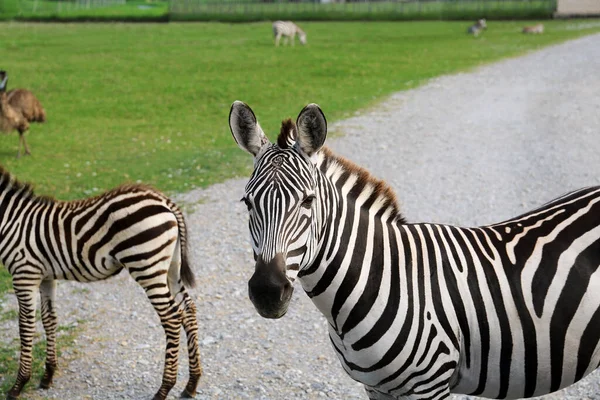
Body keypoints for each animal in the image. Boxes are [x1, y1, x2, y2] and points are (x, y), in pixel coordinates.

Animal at [0, 166, 203, 400]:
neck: (11, 220)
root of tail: (164, 201)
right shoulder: (45, 277)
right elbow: (49, 319)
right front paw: (48, 375)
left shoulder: (24, 274)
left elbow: (25, 326)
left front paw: (18, 385)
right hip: (171, 266)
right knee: (188, 309)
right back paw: (191, 383)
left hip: (147, 266)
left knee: (171, 318)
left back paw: (163, 389)